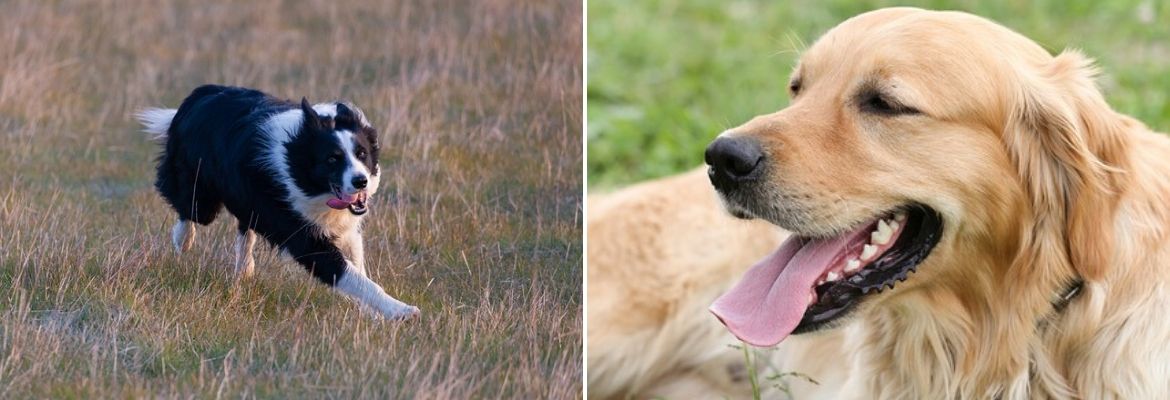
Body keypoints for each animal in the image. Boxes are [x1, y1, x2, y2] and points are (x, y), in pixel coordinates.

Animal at [138, 84, 418, 318]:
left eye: (362, 154)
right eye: (332, 159)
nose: (361, 181)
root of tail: (200, 94)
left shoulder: (344, 226)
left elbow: (357, 267)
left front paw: (373, 313)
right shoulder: (304, 237)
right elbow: (351, 275)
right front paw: (401, 311)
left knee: (245, 227)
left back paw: (245, 269)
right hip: (200, 193)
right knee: (189, 210)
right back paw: (183, 240)